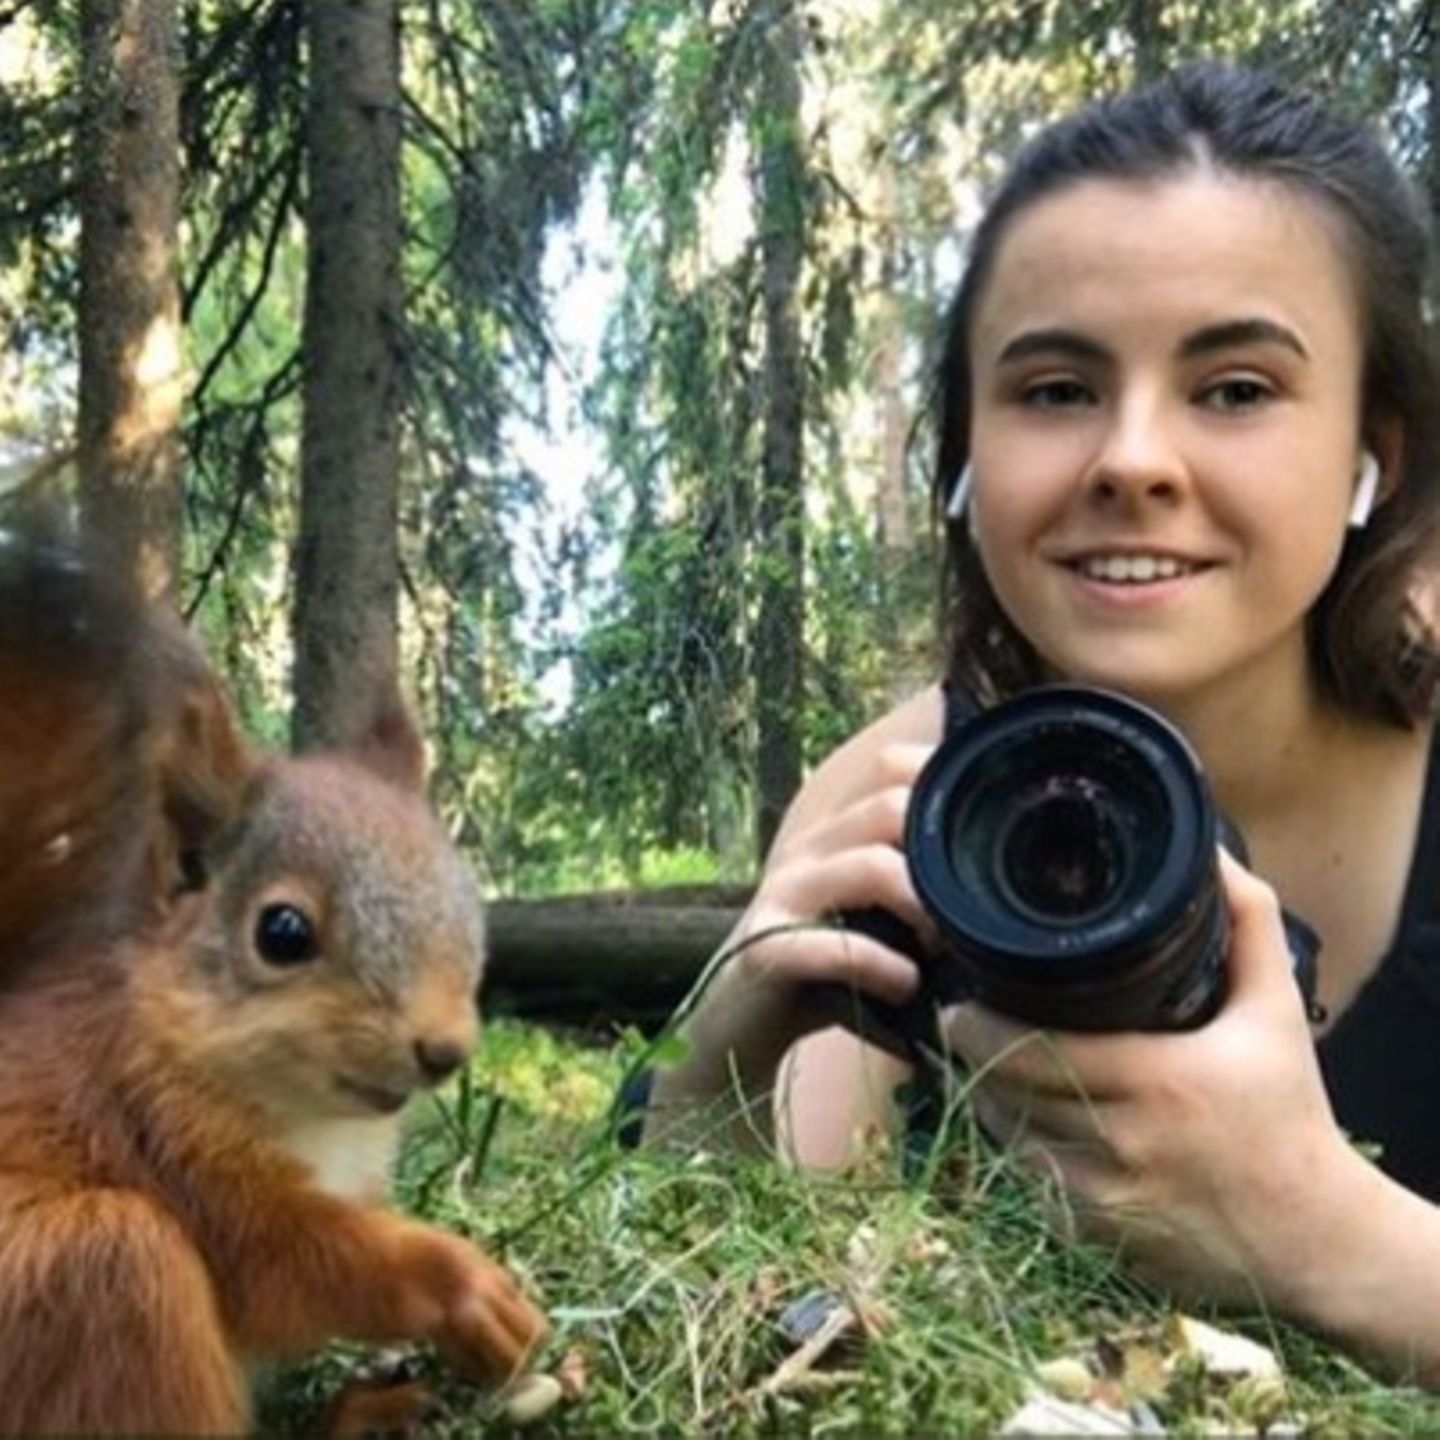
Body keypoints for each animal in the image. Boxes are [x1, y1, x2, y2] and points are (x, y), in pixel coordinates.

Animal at [0, 529, 547, 1428]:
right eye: (282, 933)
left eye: (467, 903)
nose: (445, 1052)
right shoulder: (157, 1129)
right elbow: (293, 1263)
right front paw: (463, 1286)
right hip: (101, 1275)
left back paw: (364, 1414)